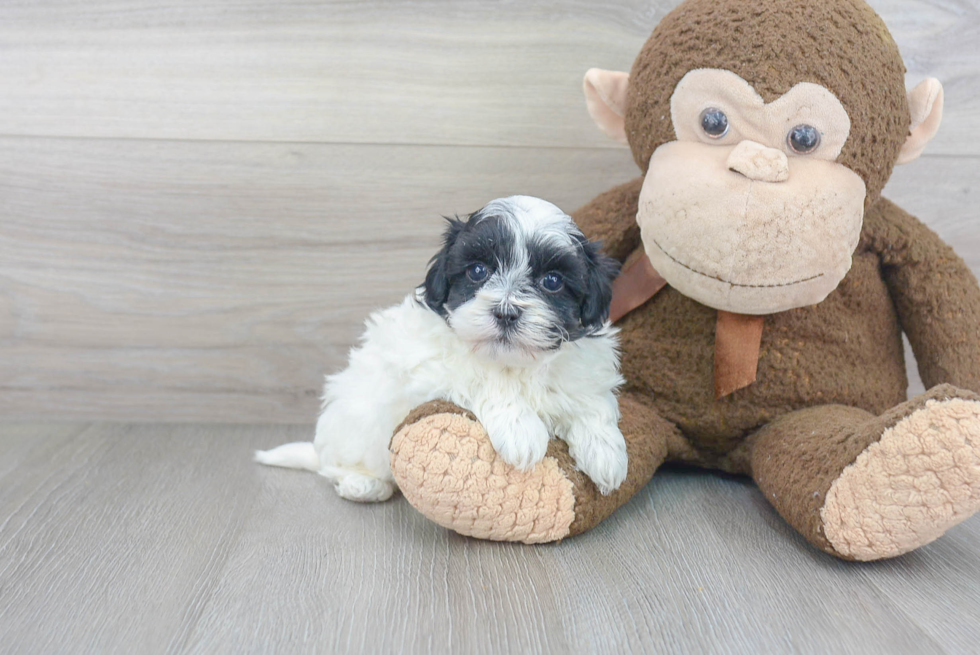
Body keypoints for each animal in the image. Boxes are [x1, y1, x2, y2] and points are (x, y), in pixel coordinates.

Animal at [256, 195, 628, 502]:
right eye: (477, 271)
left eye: (552, 281)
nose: (506, 312)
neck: (514, 363)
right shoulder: (431, 367)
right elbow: (484, 381)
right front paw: (520, 429)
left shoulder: (583, 369)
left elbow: (593, 403)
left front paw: (607, 452)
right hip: (358, 427)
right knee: (334, 465)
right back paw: (363, 484)